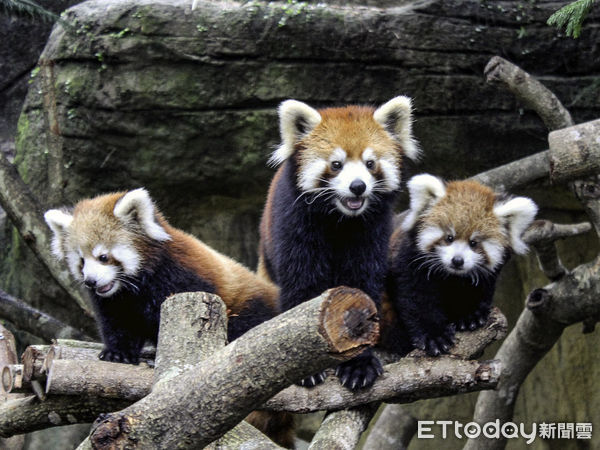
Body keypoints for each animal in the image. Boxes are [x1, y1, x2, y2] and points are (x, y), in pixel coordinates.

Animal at [256, 96, 418, 390]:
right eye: (336, 164)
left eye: (370, 163)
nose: (357, 186)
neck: (340, 219)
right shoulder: (295, 226)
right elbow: (301, 286)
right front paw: (304, 366)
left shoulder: (370, 233)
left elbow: (362, 289)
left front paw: (359, 364)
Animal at [384, 175, 540, 356]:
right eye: (449, 238)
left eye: (474, 243)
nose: (457, 260)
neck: (452, 276)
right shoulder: (409, 260)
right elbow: (417, 298)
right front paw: (434, 336)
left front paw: (469, 315)